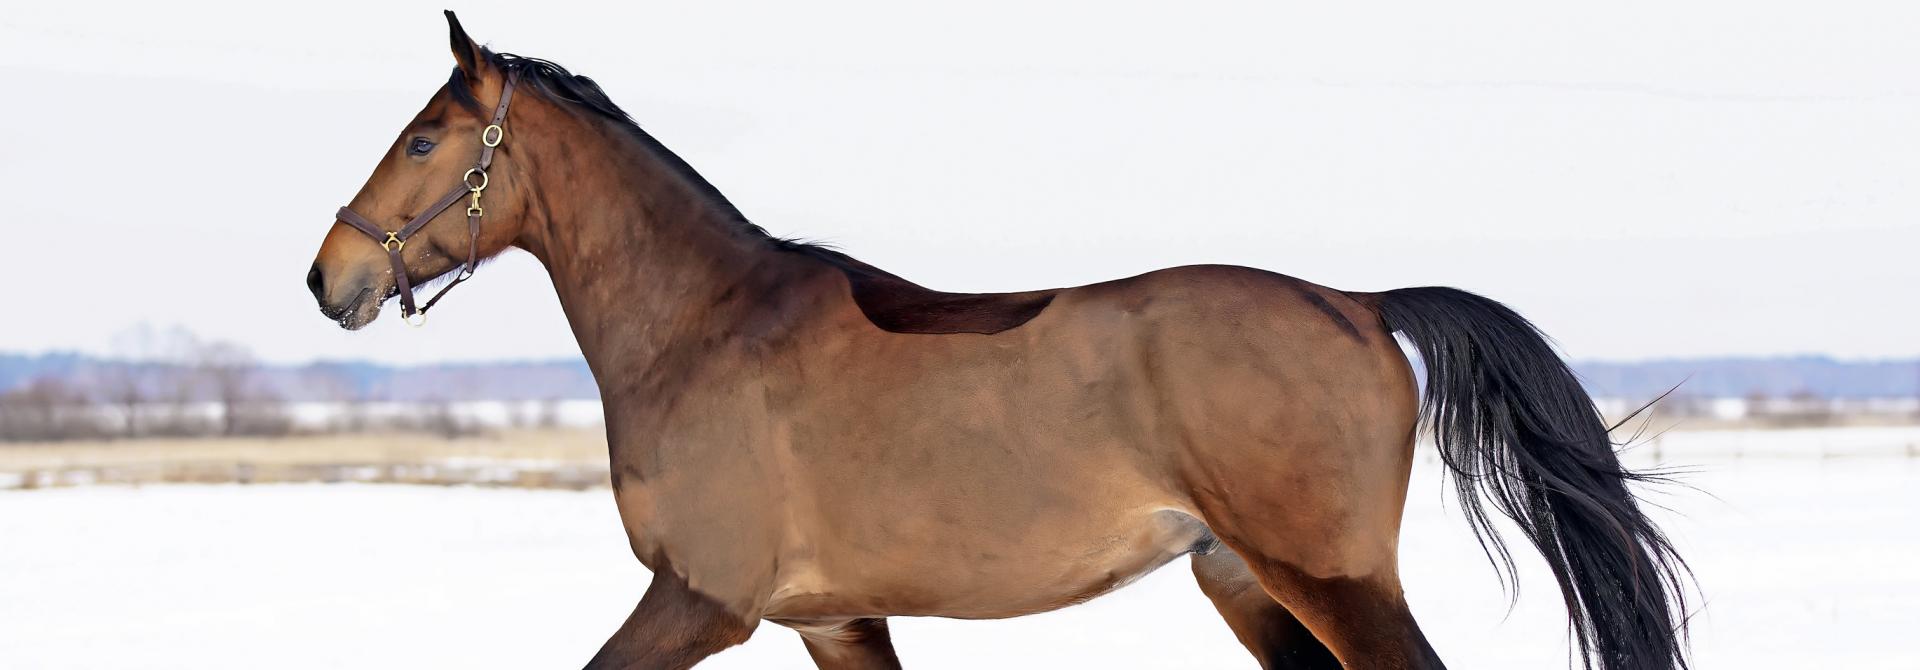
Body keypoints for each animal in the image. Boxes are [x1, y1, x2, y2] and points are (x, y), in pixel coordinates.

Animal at [307, 12, 1690, 670]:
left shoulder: (701, 600)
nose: (331, 278)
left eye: (424, 138)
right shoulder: (832, 619)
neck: (700, 329)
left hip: (1333, 576)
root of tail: (1358, 300)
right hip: (1240, 579)